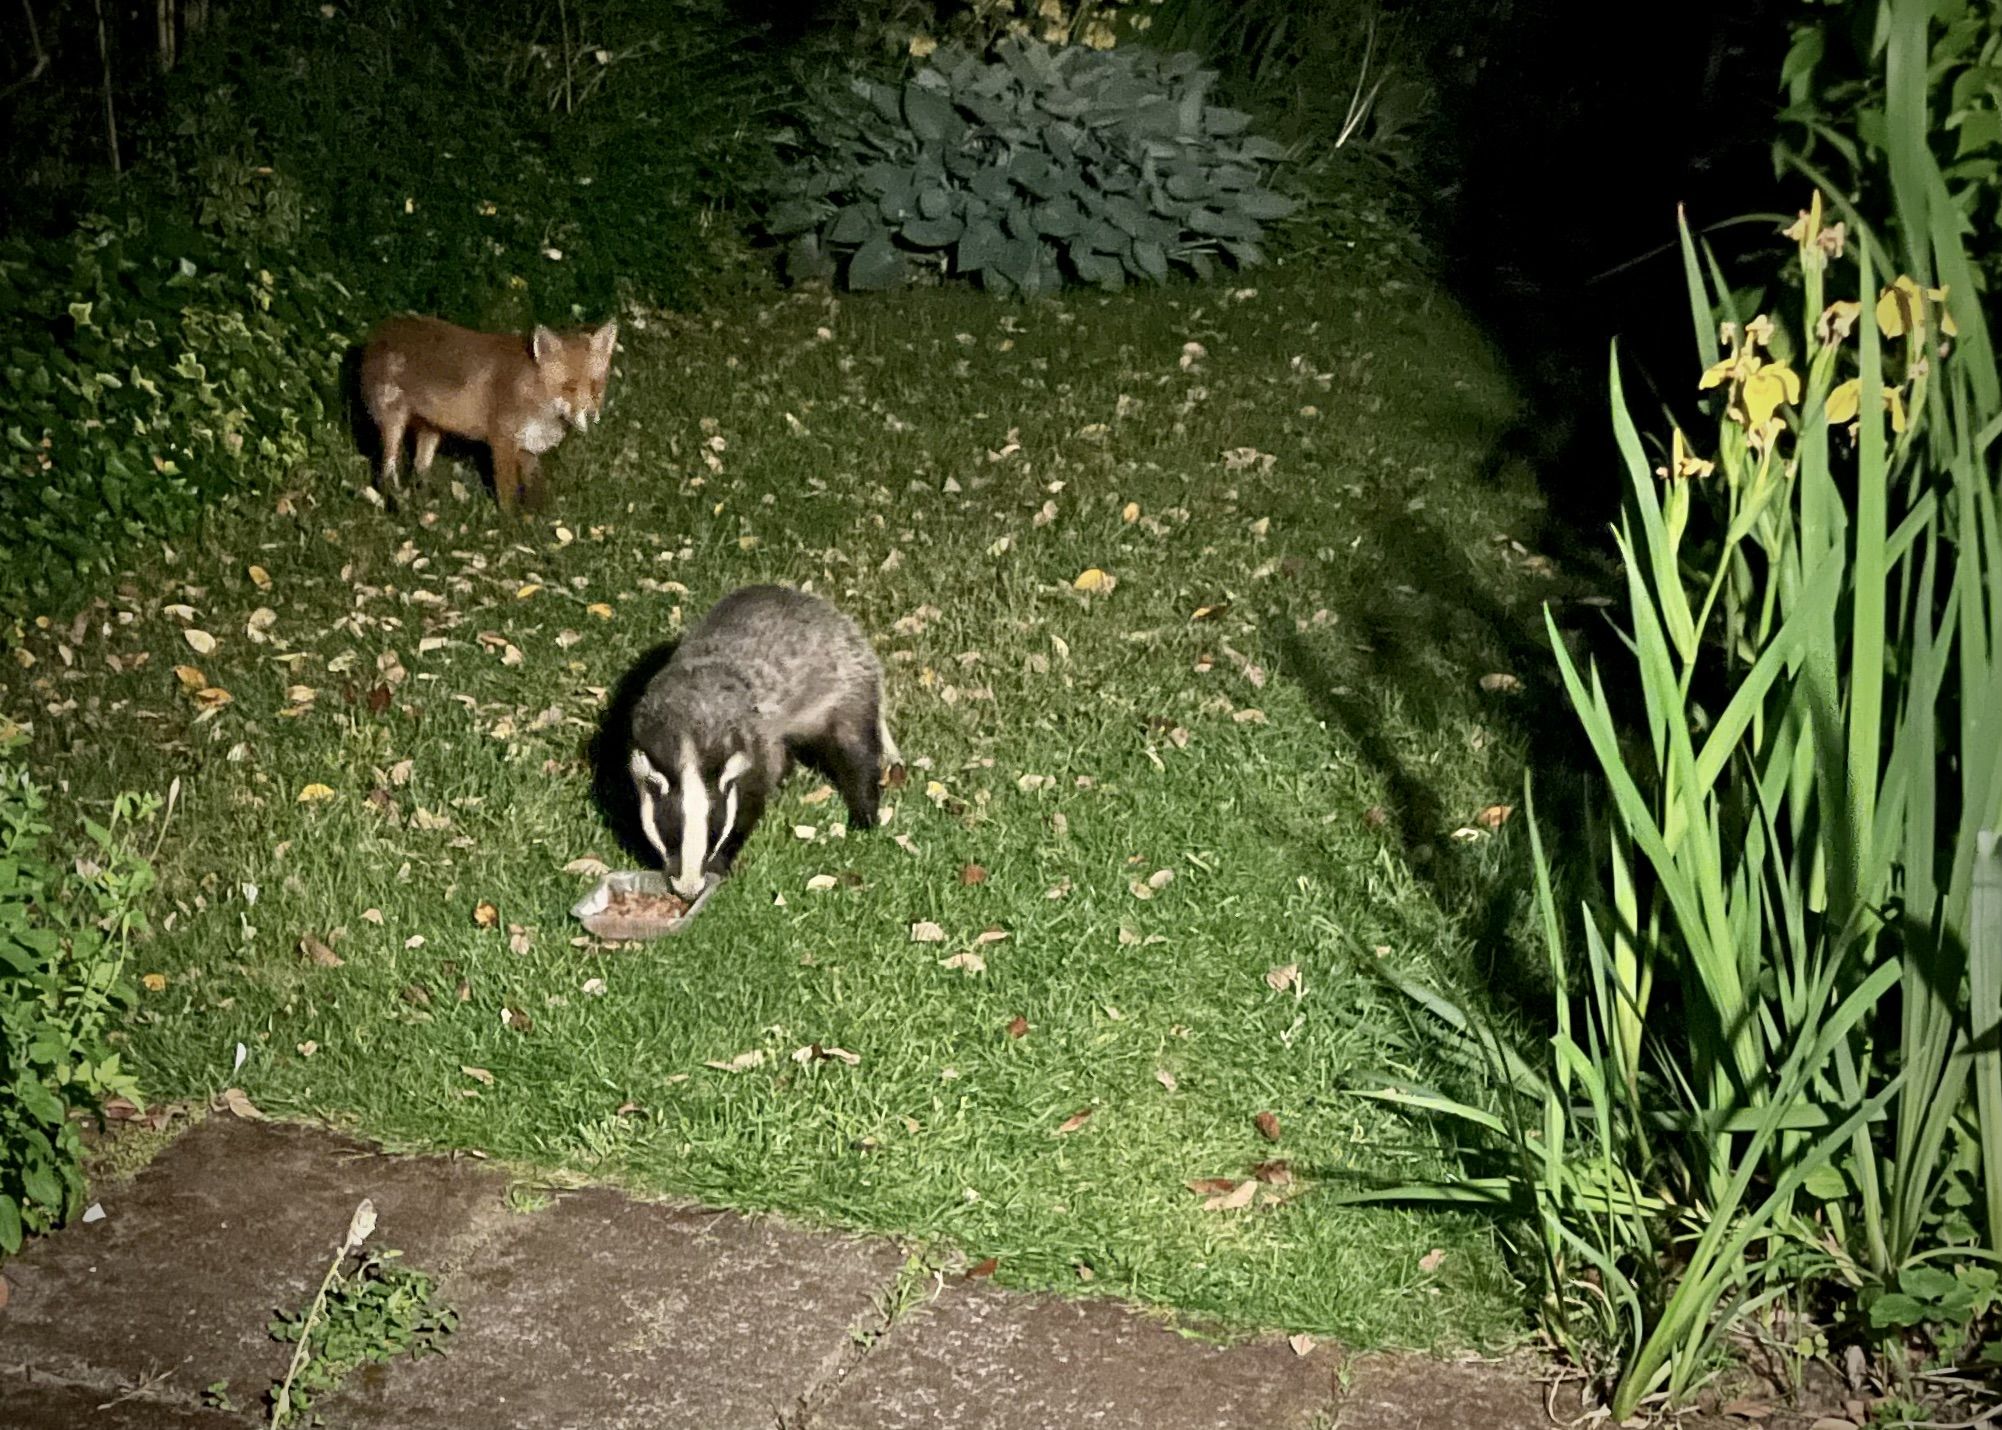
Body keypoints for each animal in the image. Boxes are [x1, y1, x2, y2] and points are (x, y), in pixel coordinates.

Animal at [358, 315, 617, 517]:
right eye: (569, 388)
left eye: (596, 388)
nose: (591, 415)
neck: (533, 392)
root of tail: (382, 330)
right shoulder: (502, 442)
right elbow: (507, 492)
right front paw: (511, 525)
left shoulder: (527, 447)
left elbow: (536, 487)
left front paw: (538, 521)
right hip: (394, 424)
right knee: (386, 473)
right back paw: (399, 508)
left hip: (431, 431)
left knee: (420, 467)